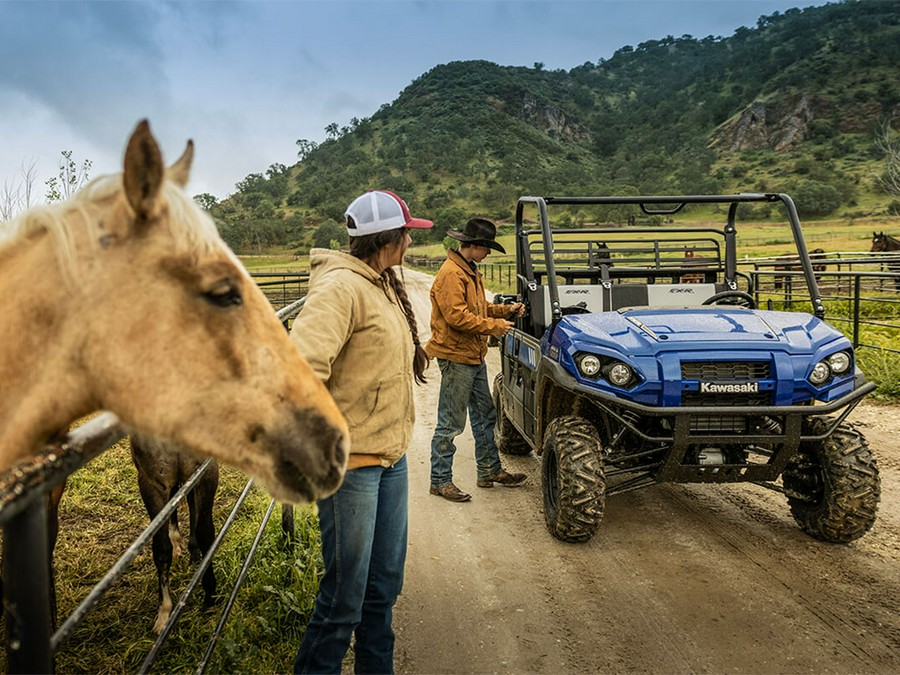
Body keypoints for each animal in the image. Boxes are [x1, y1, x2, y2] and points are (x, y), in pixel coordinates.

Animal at [130, 434, 218, 632]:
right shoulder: (152, 484)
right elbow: (161, 548)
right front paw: (164, 613)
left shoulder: (207, 473)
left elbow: (205, 534)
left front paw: (211, 596)